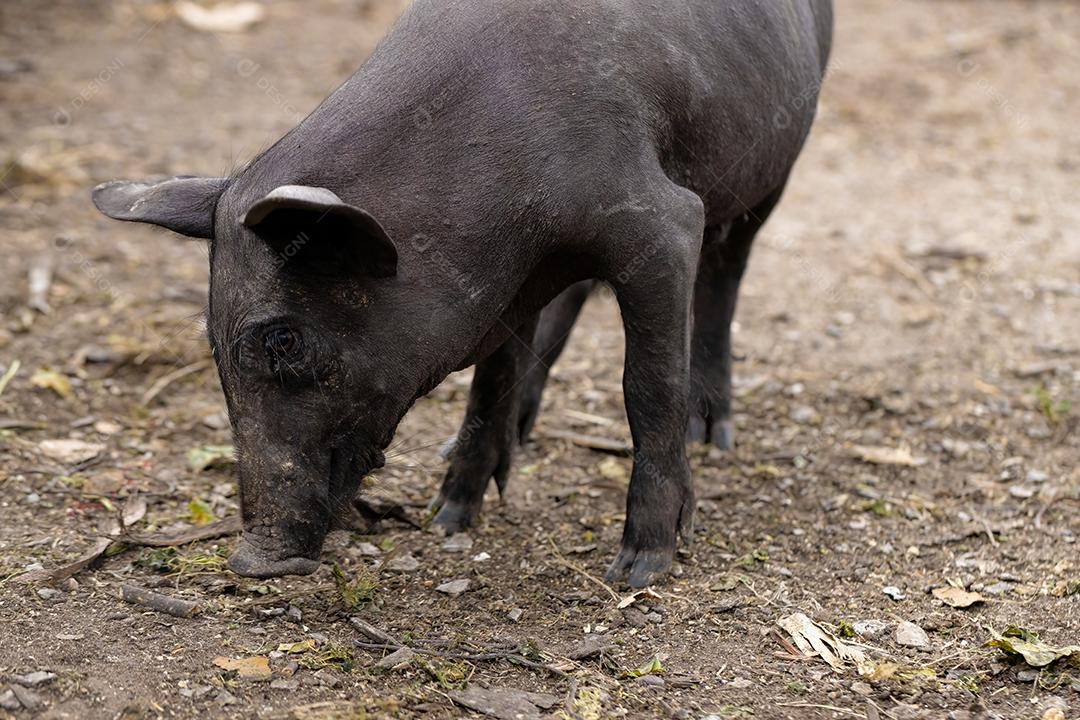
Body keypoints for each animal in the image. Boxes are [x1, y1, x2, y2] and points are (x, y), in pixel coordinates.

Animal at [92, 0, 833, 588]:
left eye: (282, 338)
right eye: (212, 342)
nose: (251, 561)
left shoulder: (661, 221)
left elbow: (647, 386)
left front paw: (638, 570)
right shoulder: (506, 289)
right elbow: (491, 377)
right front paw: (447, 518)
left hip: (778, 163)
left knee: (727, 272)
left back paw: (715, 434)